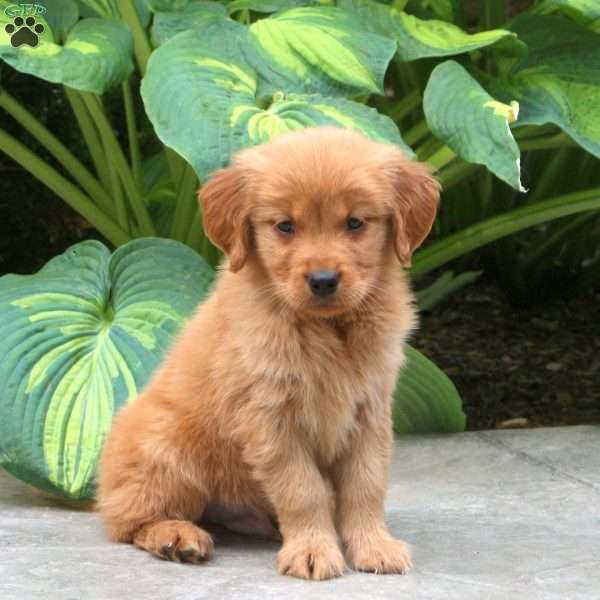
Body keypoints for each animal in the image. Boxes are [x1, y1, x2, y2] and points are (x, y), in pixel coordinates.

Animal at [97, 126, 436, 580]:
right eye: (285, 226)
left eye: (354, 223)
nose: (323, 280)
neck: (328, 330)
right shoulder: (270, 417)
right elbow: (303, 489)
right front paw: (312, 550)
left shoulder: (370, 411)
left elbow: (365, 485)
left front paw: (374, 545)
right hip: (166, 447)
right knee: (126, 521)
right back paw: (176, 536)